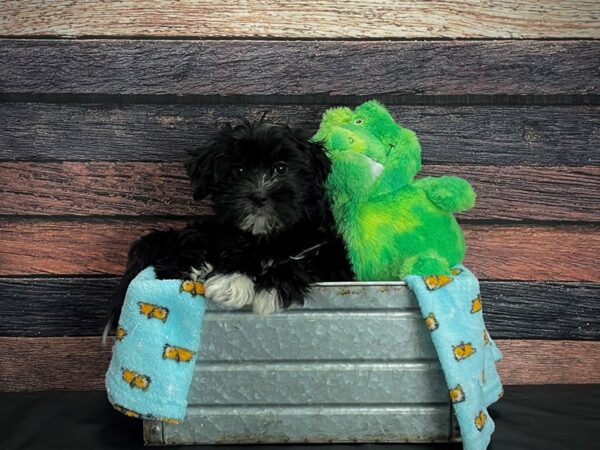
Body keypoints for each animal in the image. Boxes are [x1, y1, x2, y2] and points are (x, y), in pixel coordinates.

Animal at [106, 118, 354, 332]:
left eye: (281, 168)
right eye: (239, 170)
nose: (258, 196)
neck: (266, 237)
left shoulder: (331, 254)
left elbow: (304, 262)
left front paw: (270, 289)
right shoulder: (228, 233)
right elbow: (234, 247)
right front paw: (232, 281)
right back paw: (194, 266)